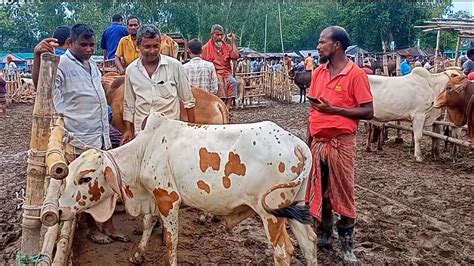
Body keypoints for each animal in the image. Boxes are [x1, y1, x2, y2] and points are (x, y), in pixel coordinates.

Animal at [60, 112, 318, 266]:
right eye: (68, 173)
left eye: (85, 178)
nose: (60, 210)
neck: (144, 151)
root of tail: (298, 144)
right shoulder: (155, 197)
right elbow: (147, 223)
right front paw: (138, 254)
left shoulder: (168, 199)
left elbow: (171, 240)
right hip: (294, 206)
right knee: (308, 243)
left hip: (270, 213)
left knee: (282, 251)